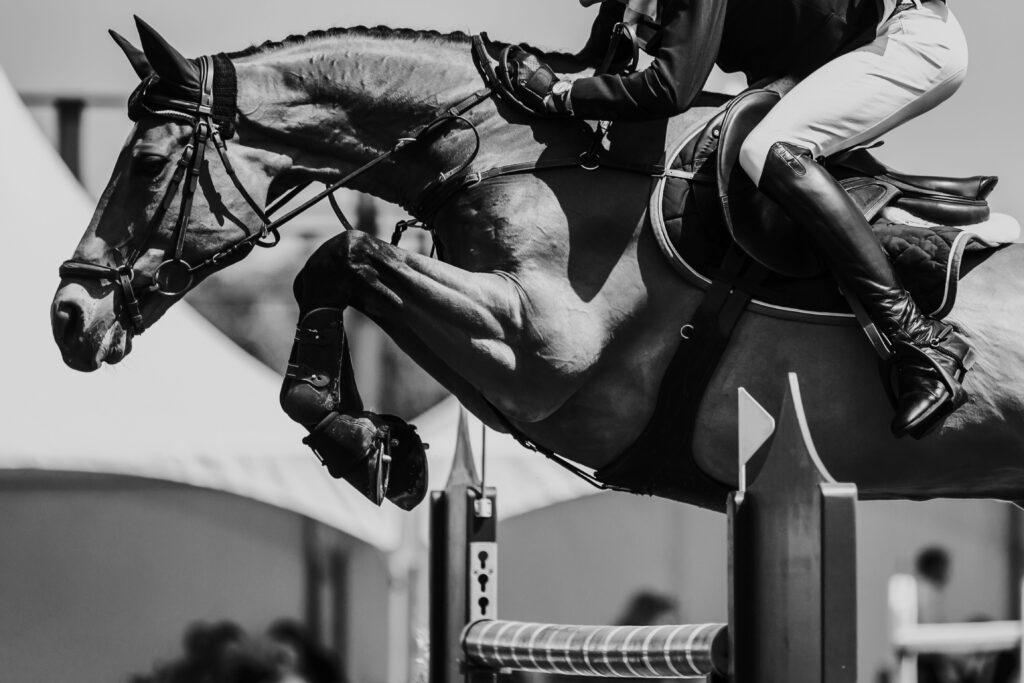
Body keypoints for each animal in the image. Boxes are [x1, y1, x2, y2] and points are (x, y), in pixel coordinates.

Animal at [51, 17, 1024, 511]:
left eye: (147, 165)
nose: (68, 316)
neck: (510, 152)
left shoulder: (545, 351)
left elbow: (338, 255)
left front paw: (360, 438)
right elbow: (341, 274)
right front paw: (372, 443)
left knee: (787, 157)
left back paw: (926, 372)